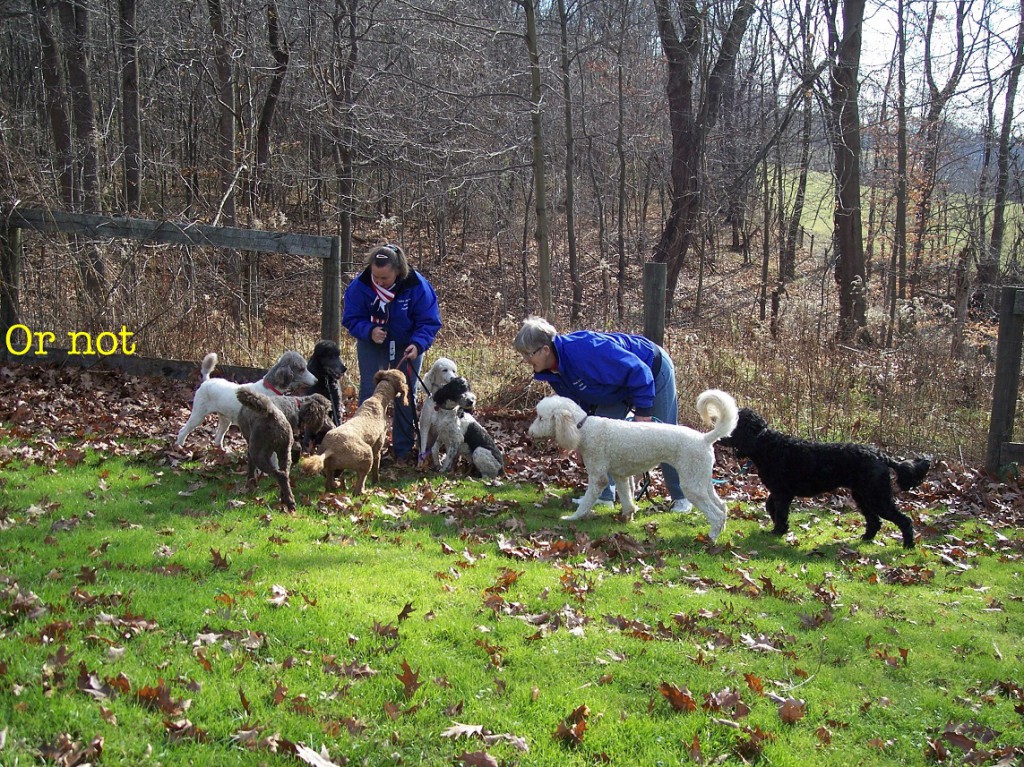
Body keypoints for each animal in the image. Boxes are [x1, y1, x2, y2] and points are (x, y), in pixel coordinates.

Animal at [175, 348, 315, 446]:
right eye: (301, 369)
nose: (316, 380)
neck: (269, 390)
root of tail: (207, 381)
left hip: (225, 419)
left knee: (218, 438)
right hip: (198, 414)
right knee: (182, 431)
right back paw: (180, 446)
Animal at [528, 389, 737, 536]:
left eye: (540, 417)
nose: (529, 432)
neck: (583, 428)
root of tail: (704, 438)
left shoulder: (598, 477)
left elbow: (587, 501)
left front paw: (573, 517)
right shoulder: (620, 476)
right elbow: (627, 498)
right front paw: (628, 516)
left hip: (692, 485)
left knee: (716, 515)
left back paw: (710, 538)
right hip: (702, 481)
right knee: (722, 507)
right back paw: (721, 532)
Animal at [720, 409, 929, 548]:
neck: (765, 443)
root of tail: (881, 456)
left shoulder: (782, 493)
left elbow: (779, 511)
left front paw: (777, 531)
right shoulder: (780, 492)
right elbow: (770, 506)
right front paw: (780, 527)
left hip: (877, 497)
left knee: (904, 520)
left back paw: (908, 545)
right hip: (863, 496)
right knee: (874, 521)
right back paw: (866, 538)